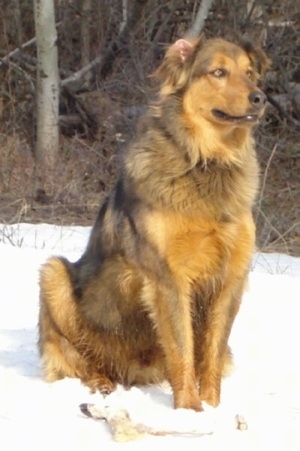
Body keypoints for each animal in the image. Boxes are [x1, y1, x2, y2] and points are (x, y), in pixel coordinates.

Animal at [38, 37, 270, 414]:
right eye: (218, 72)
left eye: (249, 72)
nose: (260, 97)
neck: (205, 163)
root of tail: (127, 370)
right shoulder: (168, 277)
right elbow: (183, 351)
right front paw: (190, 412)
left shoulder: (230, 278)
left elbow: (211, 352)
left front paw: (212, 408)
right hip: (54, 275)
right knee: (81, 359)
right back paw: (100, 383)